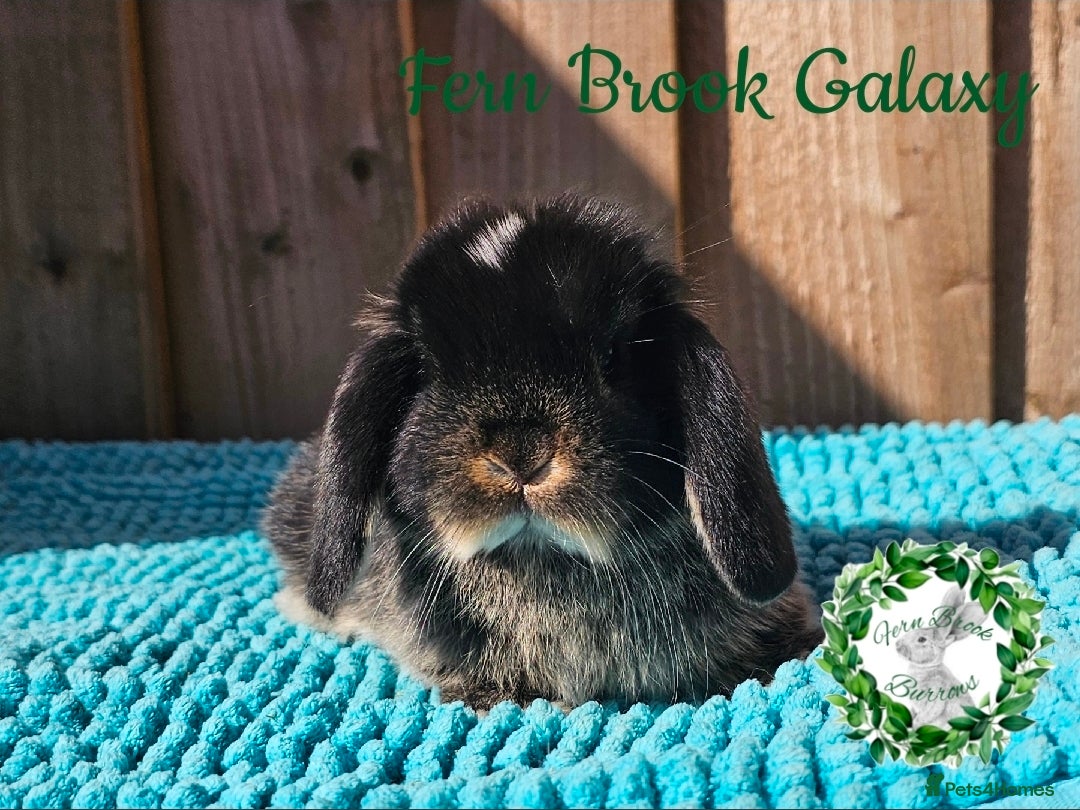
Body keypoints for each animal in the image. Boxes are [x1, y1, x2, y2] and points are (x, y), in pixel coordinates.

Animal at [894, 585, 989, 728]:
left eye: (921, 639)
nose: (897, 645)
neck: (927, 667)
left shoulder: (936, 694)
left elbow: (930, 712)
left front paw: (915, 726)